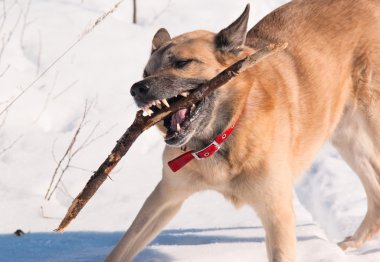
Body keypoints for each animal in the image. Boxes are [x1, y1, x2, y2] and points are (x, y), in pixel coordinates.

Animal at [105, 1, 380, 260]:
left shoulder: (276, 211)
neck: (224, 133)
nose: (136, 89)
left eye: (182, 63)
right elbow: (122, 248)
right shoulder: (167, 195)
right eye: (145, 72)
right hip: (345, 136)